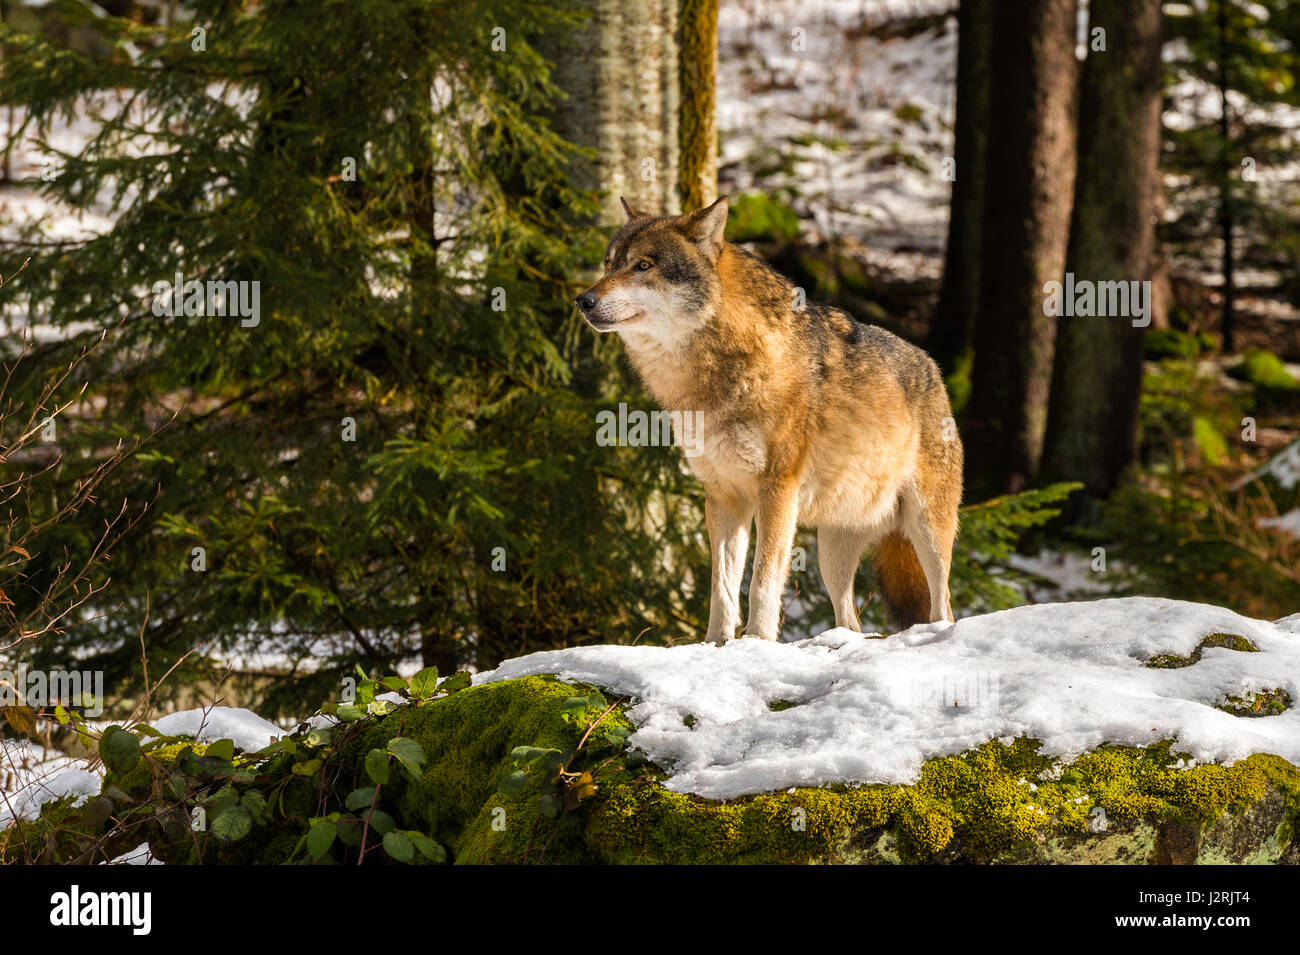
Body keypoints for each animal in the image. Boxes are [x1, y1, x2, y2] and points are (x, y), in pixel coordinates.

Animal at [574, 196, 961, 641]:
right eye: (609, 264)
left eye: (643, 265)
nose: (582, 300)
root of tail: (933, 367)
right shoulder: (723, 495)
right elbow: (722, 586)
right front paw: (716, 643)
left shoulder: (777, 490)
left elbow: (762, 579)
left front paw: (757, 640)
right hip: (832, 551)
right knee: (850, 618)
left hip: (927, 529)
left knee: (944, 604)